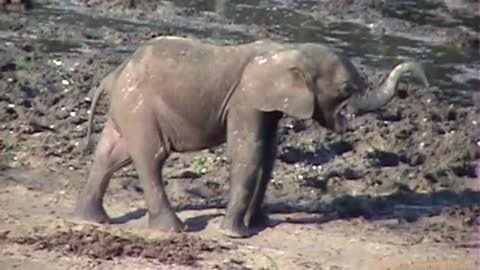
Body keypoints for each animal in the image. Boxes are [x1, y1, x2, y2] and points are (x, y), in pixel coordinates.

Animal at [74, 35, 428, 238]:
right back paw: (173, 230)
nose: (423, 81)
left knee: (110, 155)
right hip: (141, 107)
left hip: (128, 108)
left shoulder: (266, 105)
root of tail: (113, 74)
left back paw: (93, 220)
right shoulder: (245, 99)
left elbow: (268, 155)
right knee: (151, 156)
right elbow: (249, 153)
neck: (289, 51)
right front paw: (236, 234)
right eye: (344, 89)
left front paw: (258, 223)